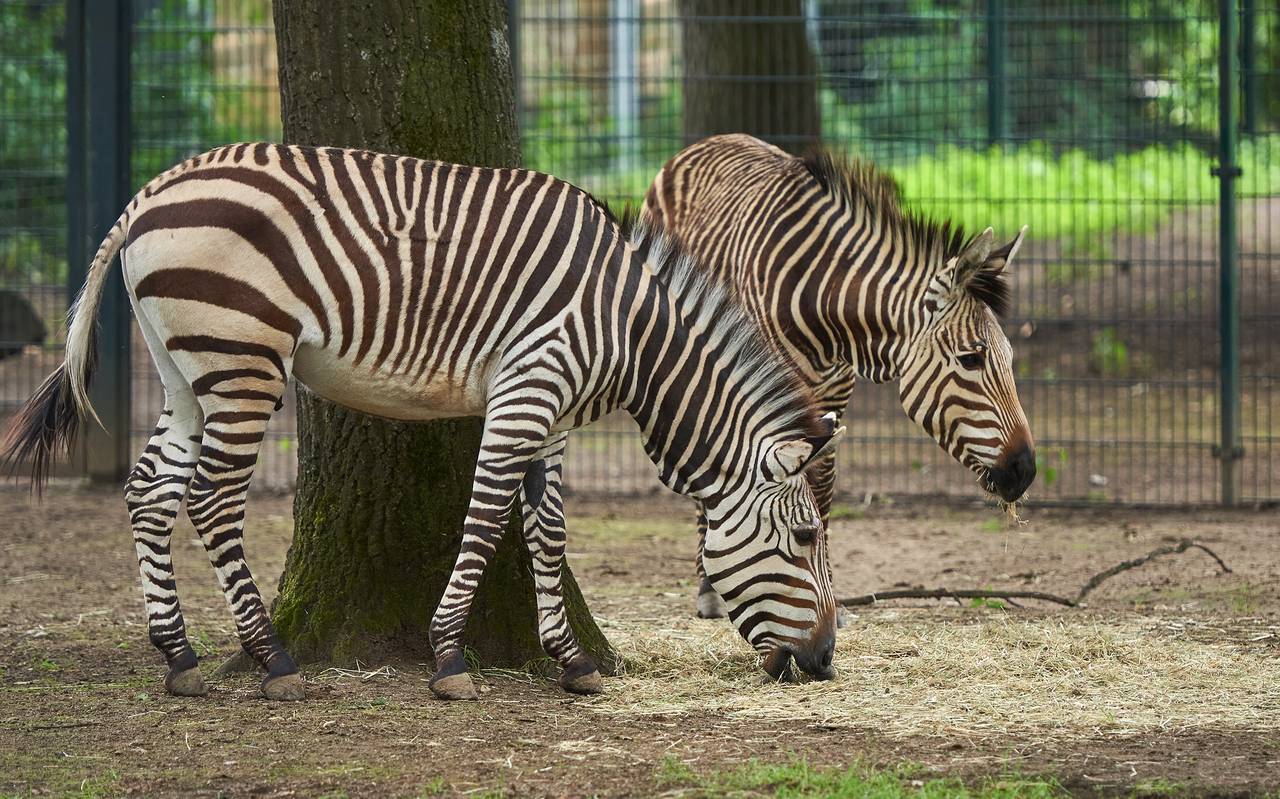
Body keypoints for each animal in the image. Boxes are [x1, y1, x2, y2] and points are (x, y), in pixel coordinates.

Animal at [1, 142, 842, 702]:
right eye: (805, 538)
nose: (828, 659)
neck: (634, 328)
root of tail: (146, 196)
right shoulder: (527, 388)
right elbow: (487, 518)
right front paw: (448, 658)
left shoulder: (556, 415)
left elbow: (547, 531)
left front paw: (571, 660)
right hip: (243, 358)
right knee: (209, 500)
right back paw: (272, 659)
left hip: (184, 372)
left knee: (149, 491)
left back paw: (177, 654)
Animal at [642, 134, 1036, 619]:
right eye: (970, 360)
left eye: (1010, 356)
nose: (1025, 471)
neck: (827, 306)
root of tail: (711, 141)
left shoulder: (835, 393)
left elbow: (823, 484)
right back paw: (708, 589)